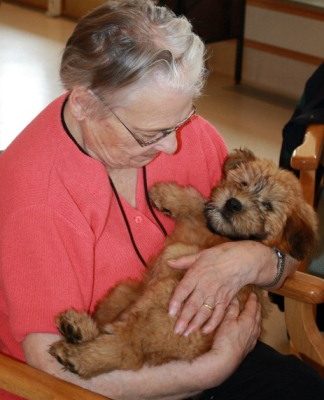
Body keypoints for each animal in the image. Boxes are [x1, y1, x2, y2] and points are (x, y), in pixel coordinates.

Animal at [49, 148, 318, 376]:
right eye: (242, 183)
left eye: (267, 206)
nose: (233, 203)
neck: (221, 235)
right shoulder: (200, 222)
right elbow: (197, 201)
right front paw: (165, 193)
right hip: (123, 292)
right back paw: (78, 329)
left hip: (168, 288)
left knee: (127, 348)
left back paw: (77, 353)